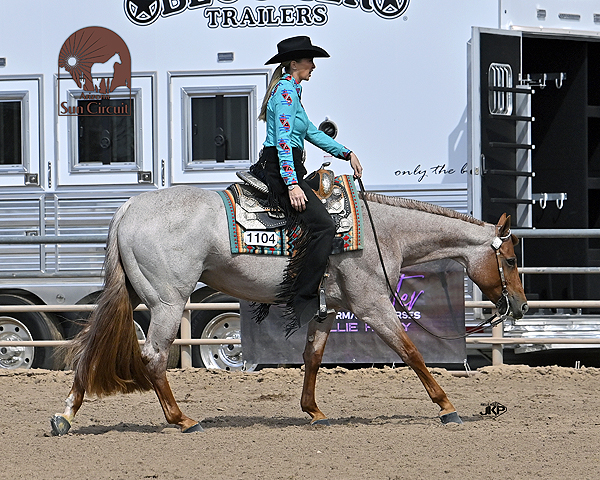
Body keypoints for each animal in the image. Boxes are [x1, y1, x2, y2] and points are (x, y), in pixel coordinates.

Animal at [50, 184, 528, 435]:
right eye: (508, 259)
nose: (520, 305)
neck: (383, 232)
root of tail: (130, 207)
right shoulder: (373, 304)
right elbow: (411, 352)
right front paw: (447, 407)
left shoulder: (327, 309)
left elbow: (312, 357)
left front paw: (313, 410)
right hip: (168, 301)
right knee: (153, 357)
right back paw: (182, 419)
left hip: (132, 295)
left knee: (90, 350)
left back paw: (65, 416)